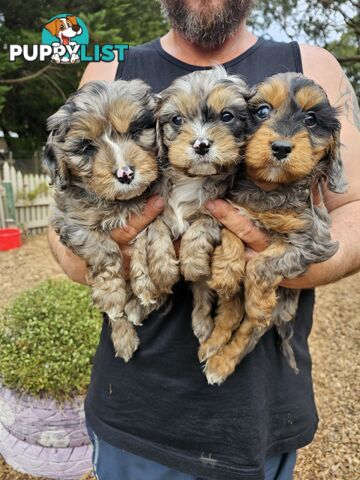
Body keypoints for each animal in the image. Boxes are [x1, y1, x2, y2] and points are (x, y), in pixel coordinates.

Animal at [43, 80, 160, 362]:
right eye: (86, 147)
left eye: (135, 130)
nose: (125, 173)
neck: (119, 202)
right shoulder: (70, 220)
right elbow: (104, 252)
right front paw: (111, 294)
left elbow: (145, 240)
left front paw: (144, 283)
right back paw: (124, 334)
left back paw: (137, 306)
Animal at [132, 64, 250, 348]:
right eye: (177, 120)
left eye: (227, 116)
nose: (201, 144)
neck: (191, 178)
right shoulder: (156, 207)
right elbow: (156, 232)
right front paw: (163, 270)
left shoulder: (219, 209)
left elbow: (200, 227)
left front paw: (193, 261)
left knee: (202, 294)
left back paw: (202, 324)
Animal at [202, 71, 346, 384]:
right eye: (262, 111)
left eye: (311, 119)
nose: (281, 148)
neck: (270, 190)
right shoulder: (233, 210)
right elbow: (231, 235)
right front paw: (226, 270)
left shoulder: (314, 243)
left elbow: (261, 265)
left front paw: (257, 302)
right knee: (229, 313)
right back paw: (212, 344)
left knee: (248, 329)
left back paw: (221, 362)